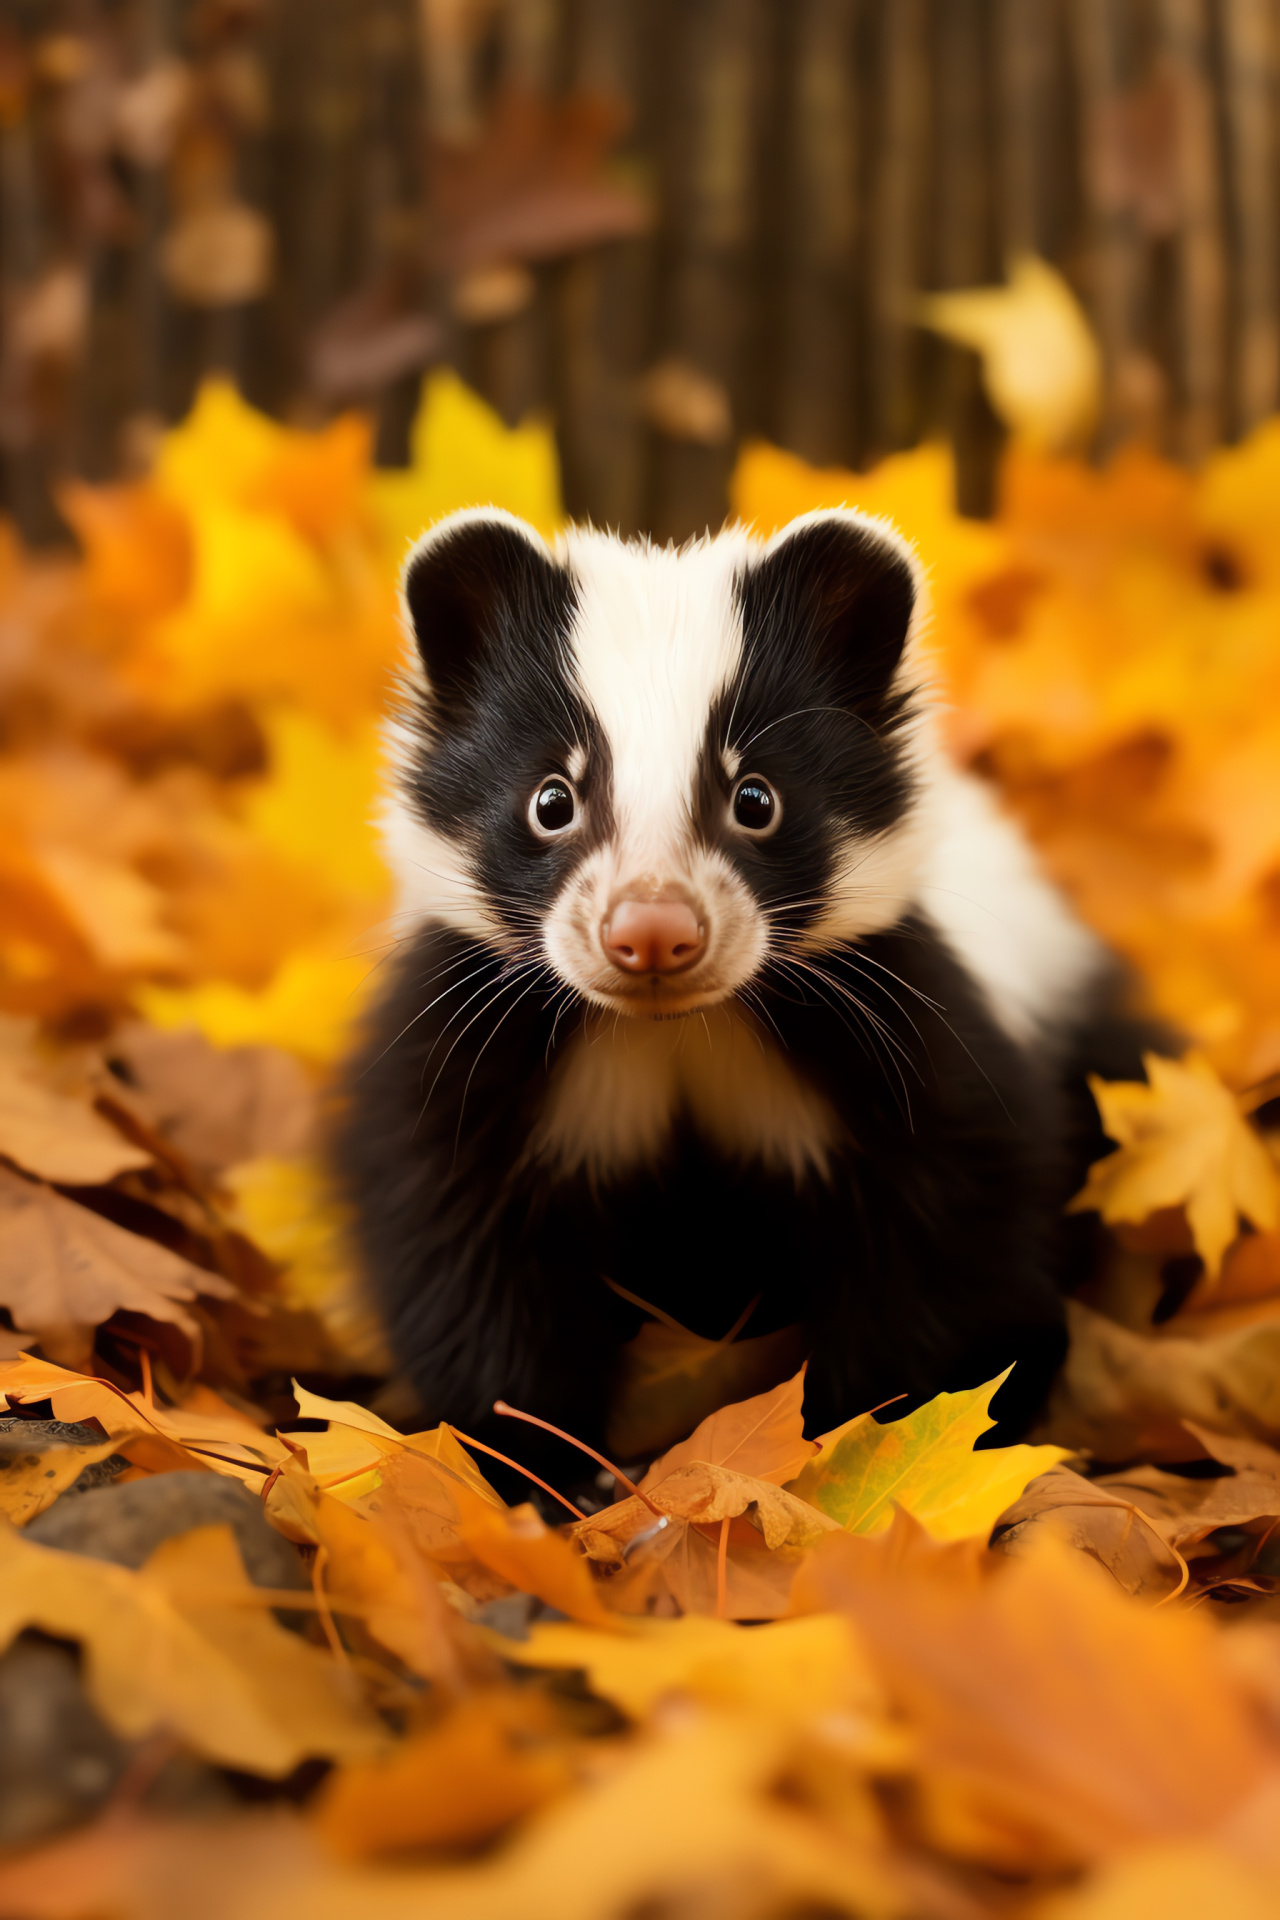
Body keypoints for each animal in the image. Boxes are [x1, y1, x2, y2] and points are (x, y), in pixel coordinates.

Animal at [335, 503, 1166, 1459]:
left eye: (757, 799)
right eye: (551, 800)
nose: (652, 930)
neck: (677, 1033)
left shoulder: (903, 1034)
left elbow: (942, 1244)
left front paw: (848, 1444)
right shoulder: (469, 1045)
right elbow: (464, 1256)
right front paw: (531, 1463)